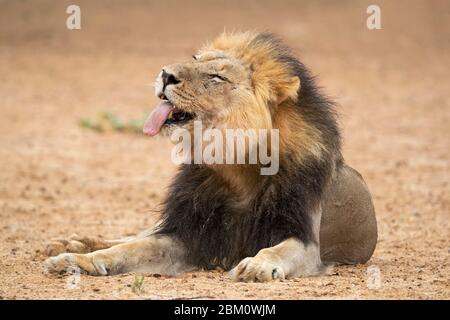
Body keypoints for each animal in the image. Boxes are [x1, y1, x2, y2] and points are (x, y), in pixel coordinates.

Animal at [44, 32, 376, 282]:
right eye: (195, 59)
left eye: (216, 77)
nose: (165, 74)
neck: (237, 168)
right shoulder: (188, 233)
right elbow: (130, 248)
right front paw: (78, 260)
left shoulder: (306, 242)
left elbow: (277, 251)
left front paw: (256, 265)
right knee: (132, 235)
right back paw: (69, 244)